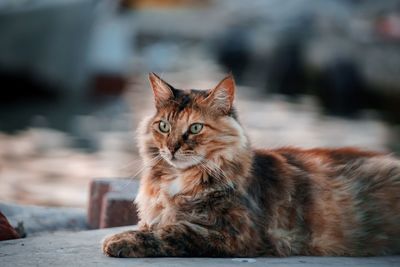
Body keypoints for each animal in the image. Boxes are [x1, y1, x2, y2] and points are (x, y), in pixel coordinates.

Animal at [103, 73, 400, 258]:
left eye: (196, 128)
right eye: (164, 126)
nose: (172, 148)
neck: (180, 179)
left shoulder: (234, 232)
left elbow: (172, 231)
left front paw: (119, 240)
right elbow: (152, 226)